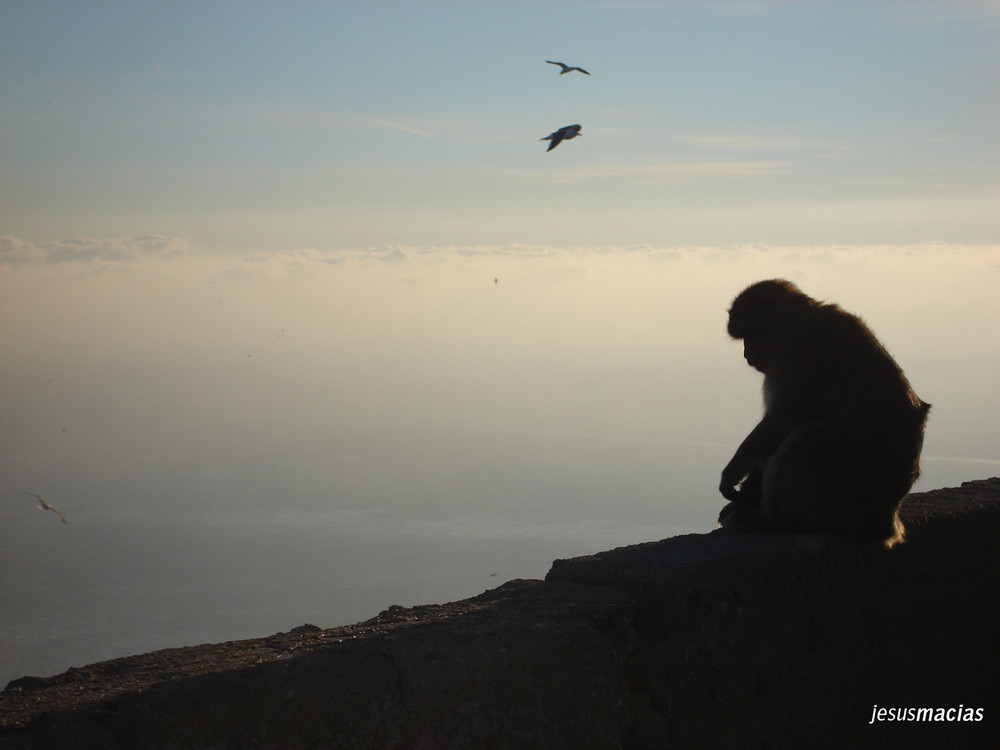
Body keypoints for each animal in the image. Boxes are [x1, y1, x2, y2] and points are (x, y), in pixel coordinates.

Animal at [720, 280, 928, 548]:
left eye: (751, 334)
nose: (747, 354)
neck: (800, 319)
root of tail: (885, 523)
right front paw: (747, 493)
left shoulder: (799, 351)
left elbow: (786, 418)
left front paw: (733, 472)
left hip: (845, 495)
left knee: (810, 436)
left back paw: (776, 521)